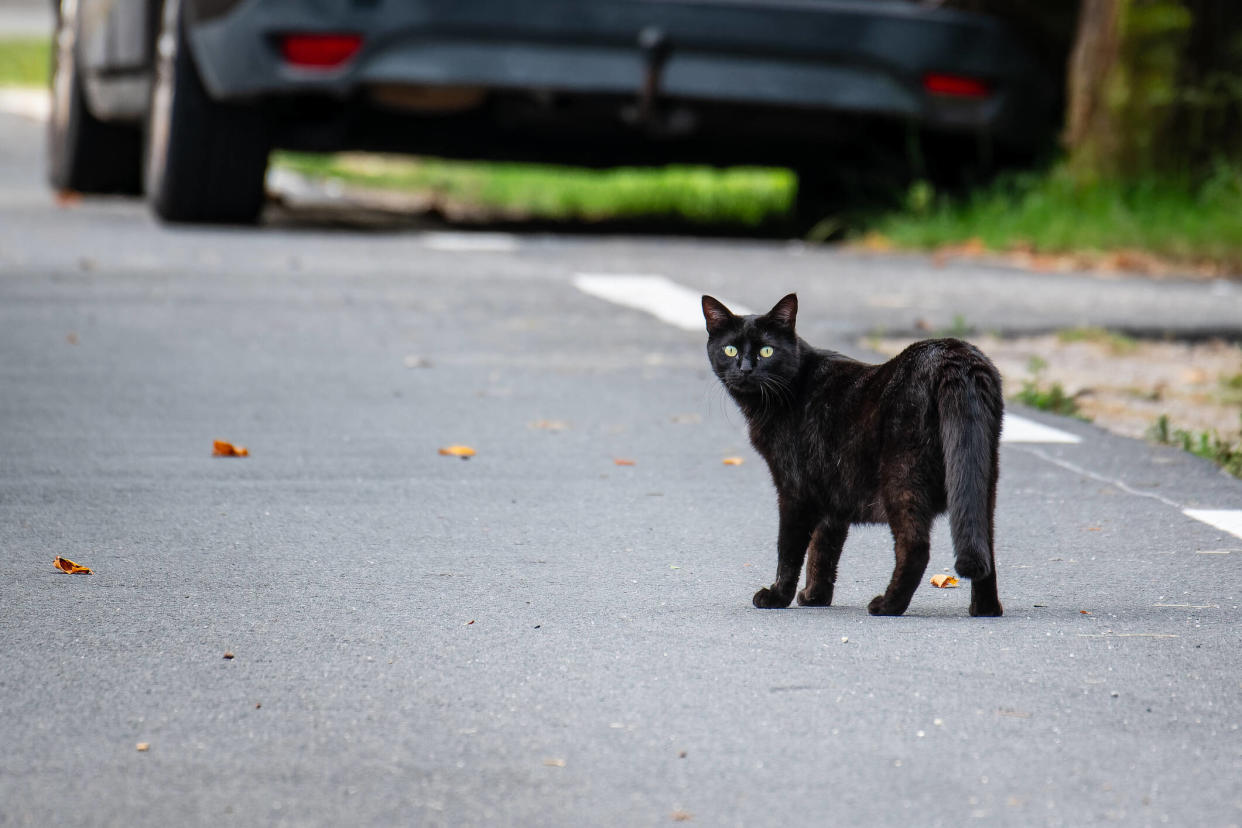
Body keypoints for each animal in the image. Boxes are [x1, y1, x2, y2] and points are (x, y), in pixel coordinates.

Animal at [705, 294, 1003, 618]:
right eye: (730, 349)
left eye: (766, 351)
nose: (745, 369)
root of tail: (954, 355)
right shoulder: (831, 494)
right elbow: (823, 549)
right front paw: (815, 596)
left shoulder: (794, 491)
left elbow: (790, 550)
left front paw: (777, 596)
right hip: (981, 479)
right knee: (985, 543)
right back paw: (986, 608)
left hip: (902, 478)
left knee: (915, 547)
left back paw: (887, 605)